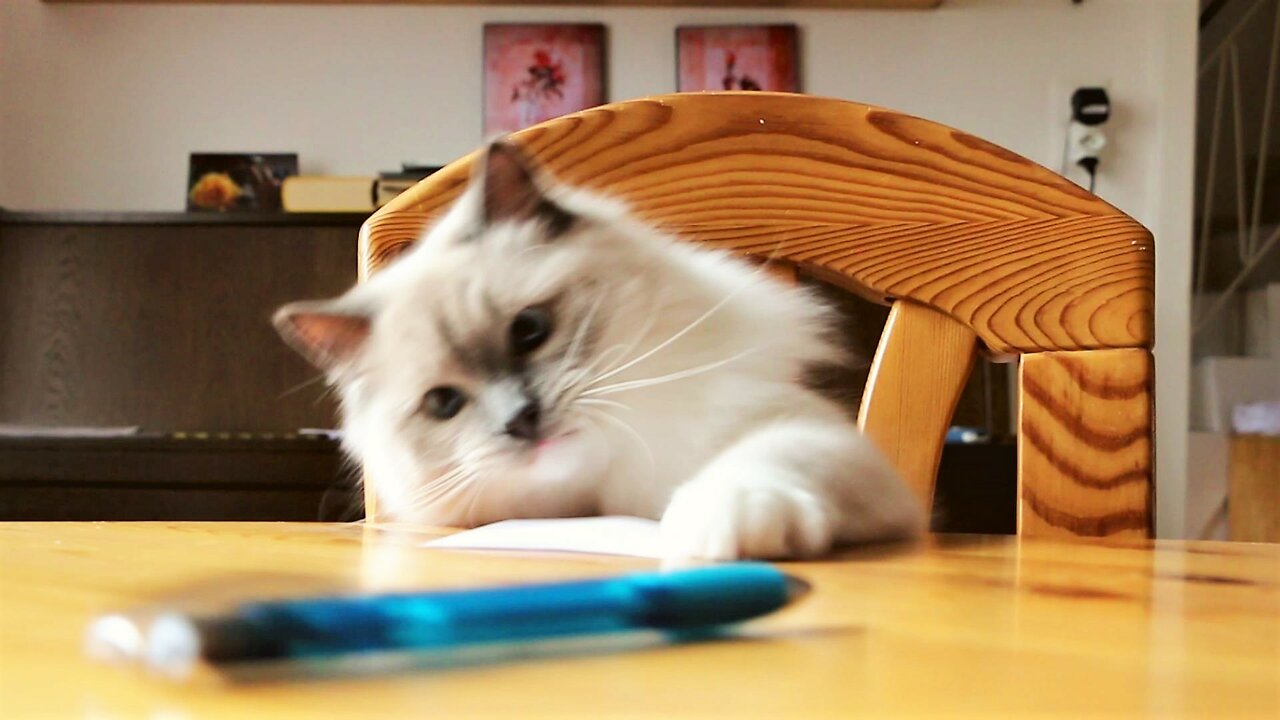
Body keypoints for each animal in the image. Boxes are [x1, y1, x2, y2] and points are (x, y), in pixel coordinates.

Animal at [275, 137, 926, 558]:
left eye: (529, 330)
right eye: (444, 404)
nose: (521, 421)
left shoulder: (815, 436)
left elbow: (759, 462)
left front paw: (720, 528)